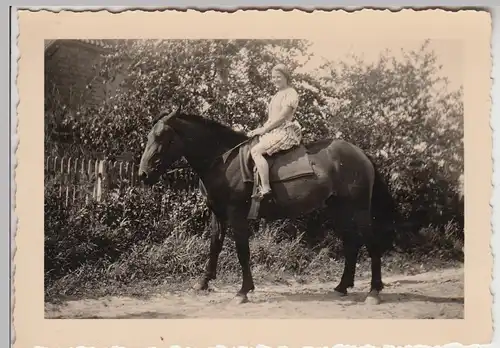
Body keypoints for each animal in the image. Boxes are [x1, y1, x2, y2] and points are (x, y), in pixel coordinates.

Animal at [137, 107, 398, 306]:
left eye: (162, 137)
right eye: (149, 137)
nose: (143, 174)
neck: (223, 161)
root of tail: (360, 154)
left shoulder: (236, 214)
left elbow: (242, 250)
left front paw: (243, 291)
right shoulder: (217, 214)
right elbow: (214, 247)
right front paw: (203, 282)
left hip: (359, 210)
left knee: (372, 244)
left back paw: (374, 292)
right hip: (339, 211)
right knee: (351, 244)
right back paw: (342, 286)